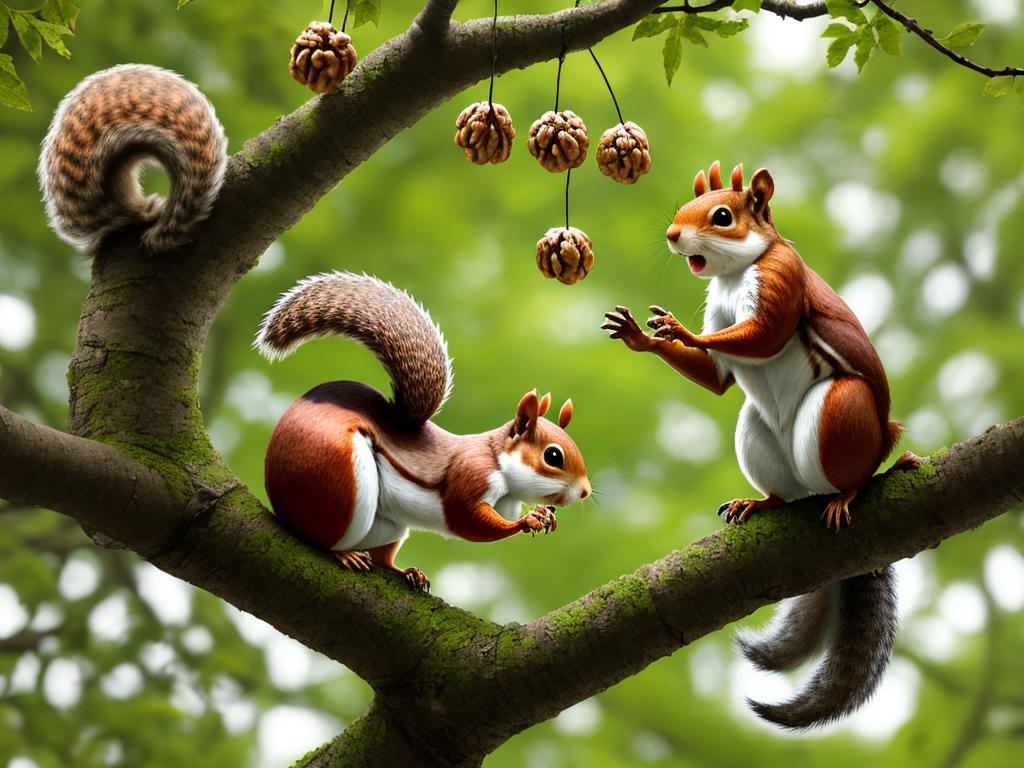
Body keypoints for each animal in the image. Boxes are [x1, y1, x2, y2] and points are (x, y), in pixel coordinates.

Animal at [256, 271, 592, 590]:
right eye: (553, 456)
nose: (585, 492)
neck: (498, 459)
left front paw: (544, 513)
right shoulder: (471, 473)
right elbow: (466, 520)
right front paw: (528, 521)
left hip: (389, 526)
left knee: (382, 557)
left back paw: (406, 572)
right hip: (338, 481)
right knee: (322, 537)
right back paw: (344, 553)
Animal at [603, 161, 920, 729]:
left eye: (722, 217)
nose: (672, 235)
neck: (733, 274)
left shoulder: (783, 277)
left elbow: (765, 336)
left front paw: (678, 329)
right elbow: (718, 379)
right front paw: (643, 337)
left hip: (842, 411)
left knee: (854, 471)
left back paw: (849, 492)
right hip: (754, 434)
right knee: (777, 482)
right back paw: (760, 502)